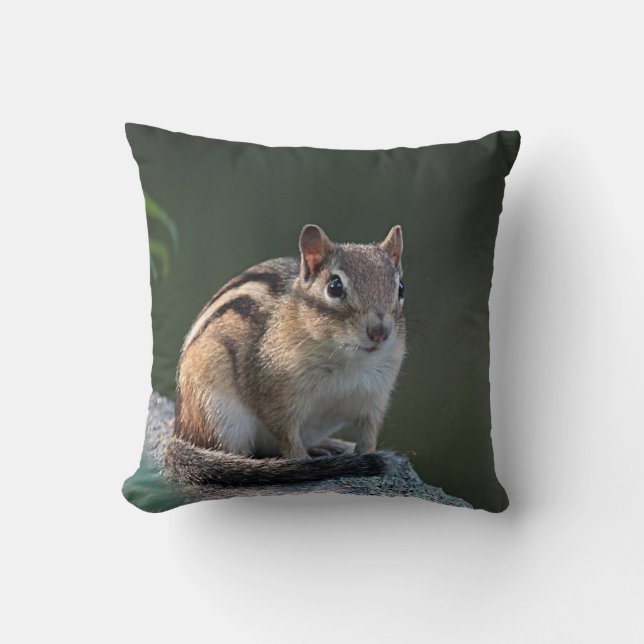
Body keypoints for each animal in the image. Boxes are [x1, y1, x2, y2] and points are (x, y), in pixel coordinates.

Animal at [165, 224, 406, 487]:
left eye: (401, 288)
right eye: (334, 287)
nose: (379, 332)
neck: (348, 360)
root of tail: (180, 432)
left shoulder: (376, 397)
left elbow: (369, 435)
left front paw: (365, 456)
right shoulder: (276, 394)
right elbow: (288, 437)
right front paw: (304, 464)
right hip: (218, 410)